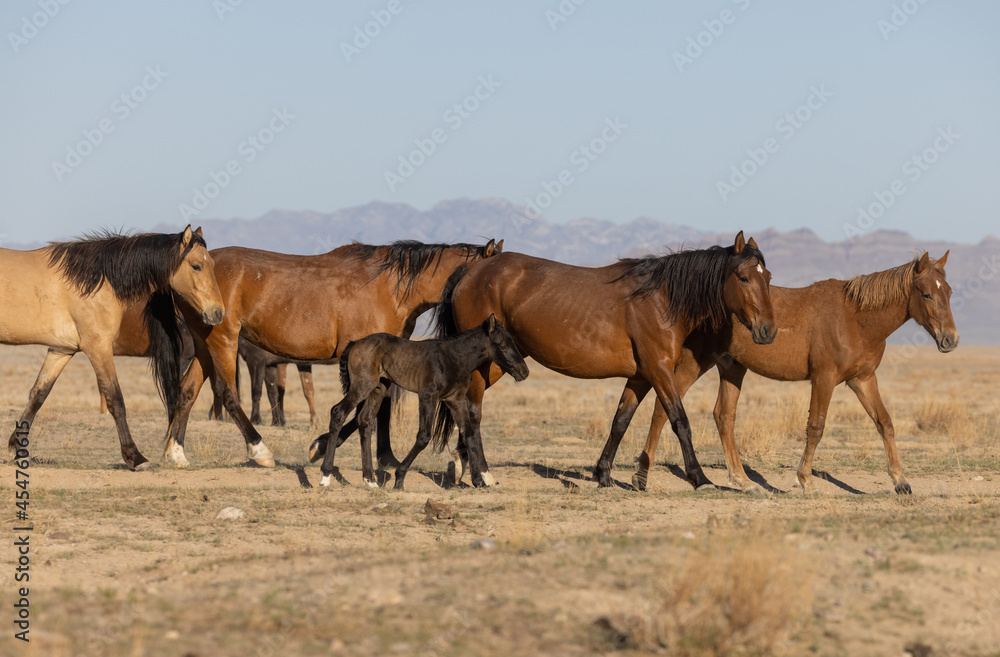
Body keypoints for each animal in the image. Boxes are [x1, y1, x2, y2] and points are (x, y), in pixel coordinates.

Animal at [1, 226, 225, 466]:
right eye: (196, 266)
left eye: (212, 264)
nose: (218, 312)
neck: (97, 281)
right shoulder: (98, 348)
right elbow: (115, 399)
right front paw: (134, 456)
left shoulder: (61, 350)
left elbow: (38, 395)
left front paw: (18, 446)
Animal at [169, 238, 508, 468]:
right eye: (489, 275)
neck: (391, 288)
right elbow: (359, 410)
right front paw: (321, 448)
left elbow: (379, 407)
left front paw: (384, 457)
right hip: (223, 340)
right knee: (228, 393)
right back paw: (260, 451)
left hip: (204, 345)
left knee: (187, 390)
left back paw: (175, 452)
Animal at [318, 316, 532, 490]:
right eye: (502, 345)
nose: (524, 371)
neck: (452, 358)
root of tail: (354, 343)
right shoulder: (428, 396)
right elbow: (423, 436)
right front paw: (399, 479)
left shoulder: (456, 400)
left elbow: (469, 433)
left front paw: (479, 481)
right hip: (362, 386)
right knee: (337, 412)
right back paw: (325, 476)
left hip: (379, 388)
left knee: (365, 421)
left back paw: (370, 480)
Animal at [436, 231, 772, 486]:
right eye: (743, 277)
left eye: (767, 276)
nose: (768, 330)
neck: (661, 299)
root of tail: (472, 271)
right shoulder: (660, 371)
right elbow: (680, 421)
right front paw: (699, 478)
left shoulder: (640, 376)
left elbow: (620, 422)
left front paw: (604, 475)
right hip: (485, 366)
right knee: (473, 412)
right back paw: (481, 475)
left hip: (496, 366)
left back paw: (463, 464)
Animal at [632, 250, 960, 492]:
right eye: (926, 294)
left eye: (949, 292)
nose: (951, 340)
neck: (855, 319)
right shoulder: (824, 378)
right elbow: (816, 427)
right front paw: (804, 480)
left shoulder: (862, 379)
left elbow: (884, 423)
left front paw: (901, 481)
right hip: (692, 364)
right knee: (663, 410)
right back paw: (642, 475)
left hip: (732, 368)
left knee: (723, 417)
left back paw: (741, 480)